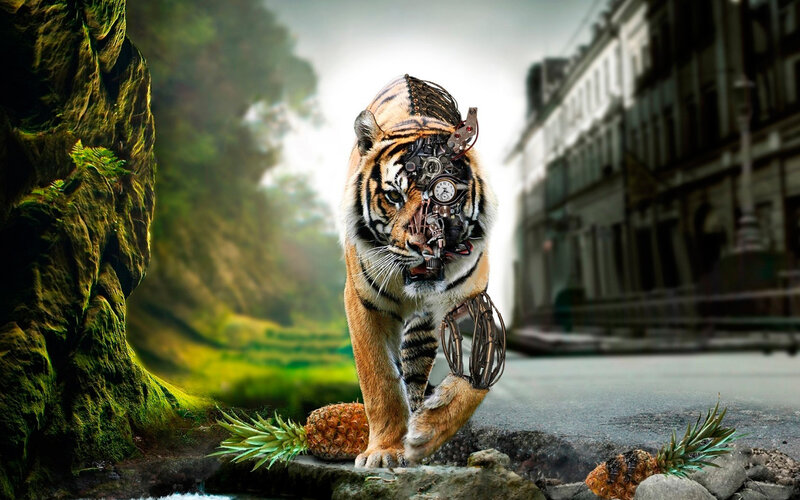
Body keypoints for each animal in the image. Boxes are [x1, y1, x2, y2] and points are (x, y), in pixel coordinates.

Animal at [340, 74, 497, 468]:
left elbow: (474, 379)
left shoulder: (472, 302)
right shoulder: (364, 303)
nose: (424, 245)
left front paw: (427, 432)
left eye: (445, 194)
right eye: (394, 196)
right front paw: (383, 451)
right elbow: (379, 379)